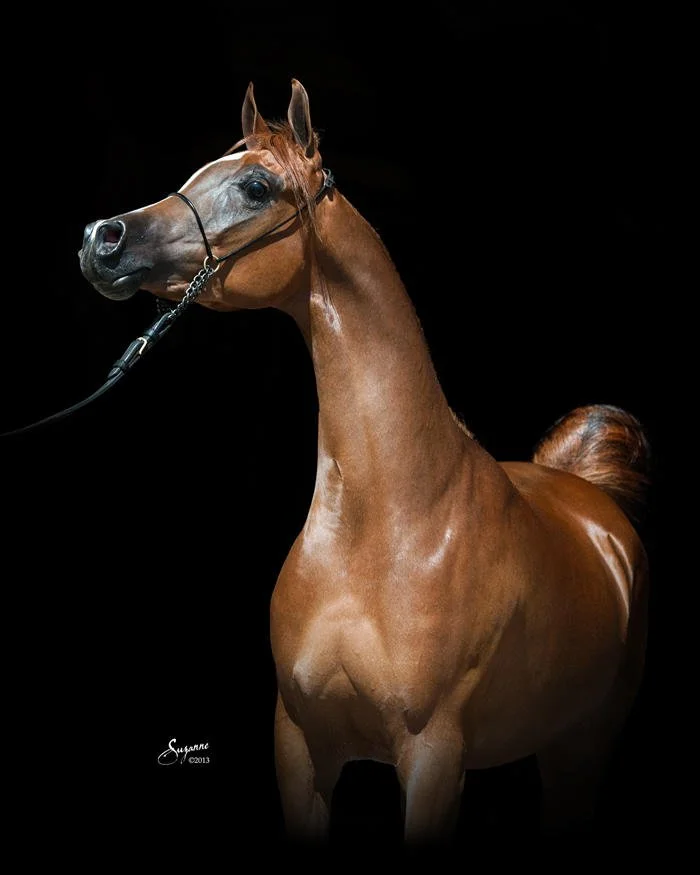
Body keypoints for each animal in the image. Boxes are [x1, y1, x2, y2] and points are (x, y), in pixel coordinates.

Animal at [79, 79, 651, 843]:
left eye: (256, 186)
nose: (102, 239)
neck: (387, 526)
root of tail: (588, 497)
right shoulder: (299, 745)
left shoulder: (434, 757)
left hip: (579, 750)